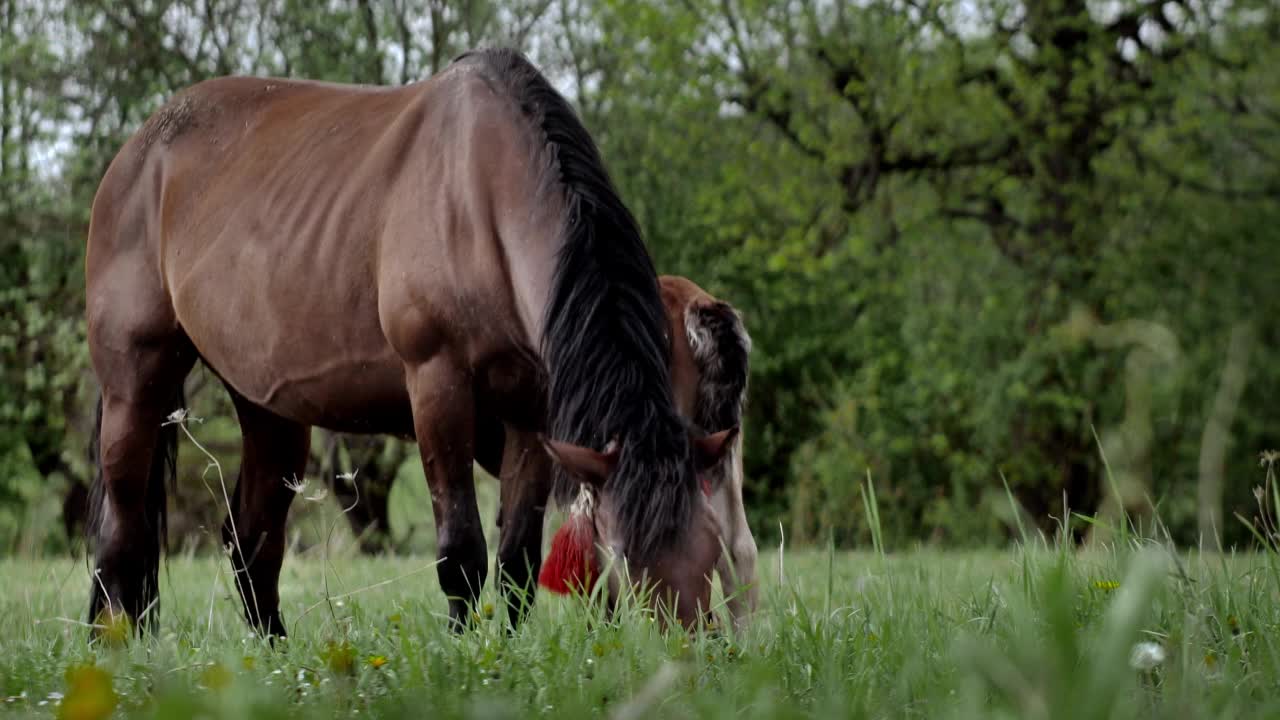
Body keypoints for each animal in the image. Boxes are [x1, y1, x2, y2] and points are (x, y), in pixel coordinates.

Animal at [85, 47, 737, 635]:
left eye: (711, 550)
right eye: (623, 558)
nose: (690, 647)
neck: (483, 195)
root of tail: (137, 154)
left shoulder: (530, 412)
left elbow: (517, 561)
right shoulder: (437, 384)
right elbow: (461, 553)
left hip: (269, 411)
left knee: (251, 543)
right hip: (135, 384)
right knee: (121, 535)